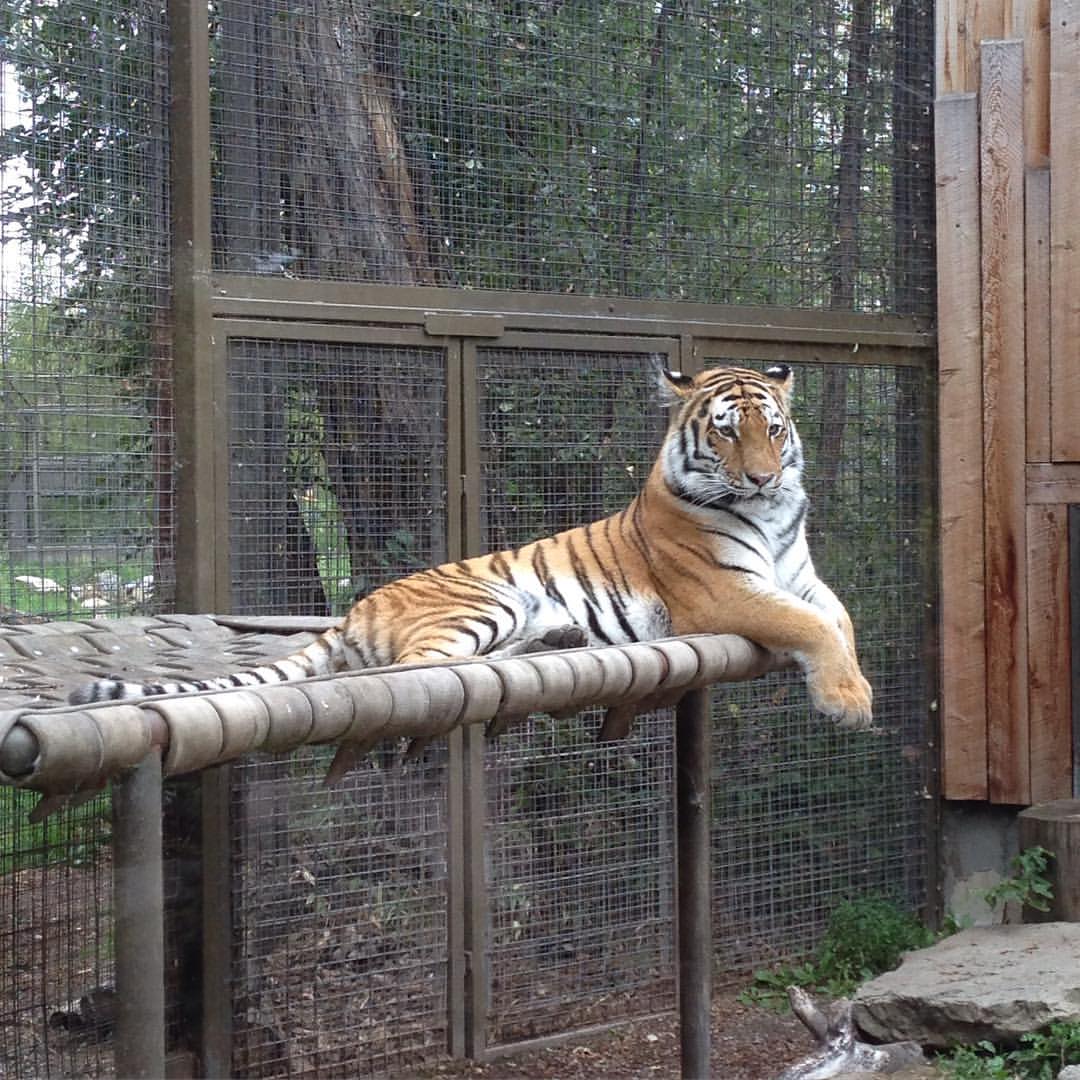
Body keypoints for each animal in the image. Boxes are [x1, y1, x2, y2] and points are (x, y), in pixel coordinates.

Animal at [71, 367, 872, 730]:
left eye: (773, 429)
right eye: (727, 432)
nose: (765, 477)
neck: (772, 516)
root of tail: (355, 609)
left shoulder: (804, 577)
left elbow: (840, 619)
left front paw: (854, 683)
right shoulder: (721, 590)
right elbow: (806, 625)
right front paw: (848, 703)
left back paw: (557, 643)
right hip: (483, 600)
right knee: (410, 672)